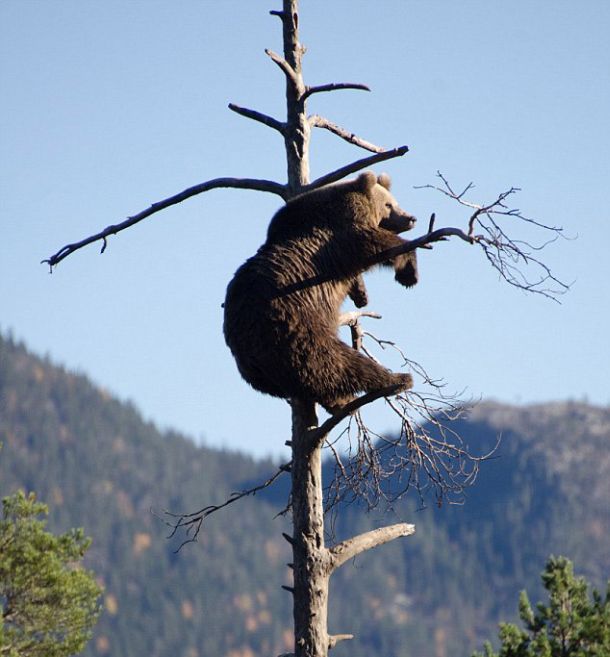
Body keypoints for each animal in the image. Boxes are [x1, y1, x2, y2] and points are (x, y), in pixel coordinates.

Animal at [223, 172, 418, 412]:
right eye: (388, 204)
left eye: (395, 201)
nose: (410, 218)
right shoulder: (338, 237)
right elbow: (374, 242)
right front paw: (408, 273)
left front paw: (362, 295)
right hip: (299, 327)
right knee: (339, 362)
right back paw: (396, 379)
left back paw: (342, 402)